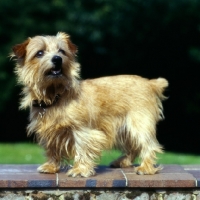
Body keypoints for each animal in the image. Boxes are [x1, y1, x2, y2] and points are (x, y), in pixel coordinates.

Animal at [11, 32, 169, 177]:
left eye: (62, 51)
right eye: (40, 53)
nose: (57, 58)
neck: (55, 95)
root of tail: (150, 83)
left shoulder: (82, 130)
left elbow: (82, 148)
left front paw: (80, 170)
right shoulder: (49, 130)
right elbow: (52, 148)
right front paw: (51, 166)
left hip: (138, 124)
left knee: (148, 145)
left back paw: (146, 168)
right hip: (124, 129)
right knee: (133, 146)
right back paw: (122, 162)